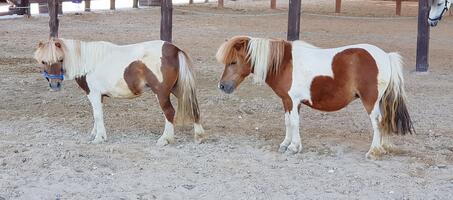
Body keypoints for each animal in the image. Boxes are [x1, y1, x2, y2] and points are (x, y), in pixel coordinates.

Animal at [33, 38, 207, 145]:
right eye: (43, 61)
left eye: (60, 59)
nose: (55, 84)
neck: (87, 61)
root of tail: (174, 49)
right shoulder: (98, 97)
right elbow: (96, 116)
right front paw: (95, 133)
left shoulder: (93, 94)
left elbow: (98, 115)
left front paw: (99, 138)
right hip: (177, 88)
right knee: (193, 106)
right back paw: (199, 136)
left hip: (162, 93)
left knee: (169, 112)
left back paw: (165, 139)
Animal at [217, 35, 414, 158]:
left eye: (233, 62)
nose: (222, 86)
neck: (284, 63)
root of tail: (386, 56)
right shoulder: (287, 101)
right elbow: (288, 122)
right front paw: (285, 144)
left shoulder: (293, 100)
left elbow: (294, 123)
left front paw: (294, 147)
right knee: (385, 121)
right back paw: (383, 147)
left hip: (370, 101)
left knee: (377, 122)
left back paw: (373, 151)